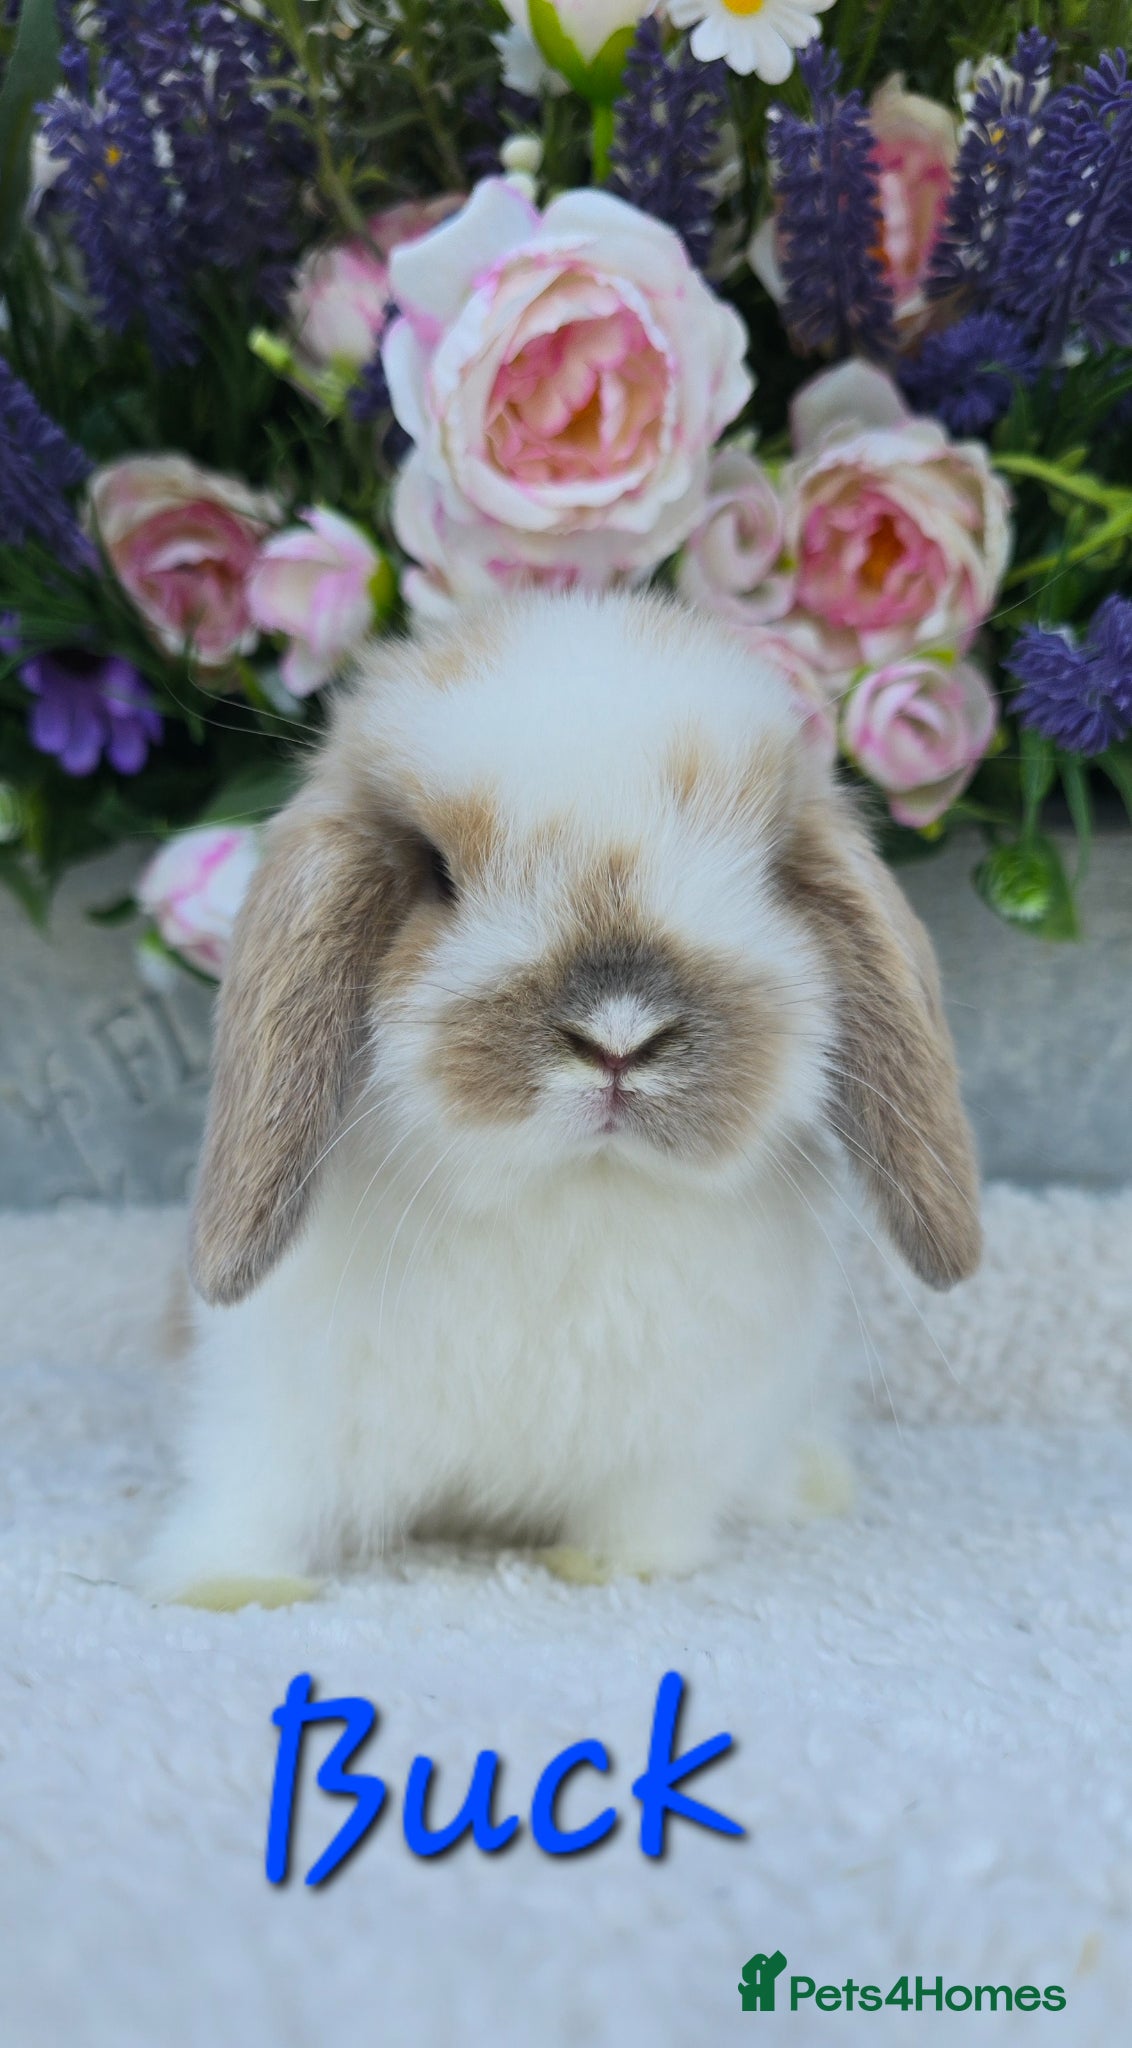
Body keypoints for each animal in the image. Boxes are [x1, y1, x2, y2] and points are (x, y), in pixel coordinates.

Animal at [142, 588, 980, 1608]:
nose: (620, 1037)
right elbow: (249, 1496)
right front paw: (225, 1586)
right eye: (437, 874)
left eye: (763, 872)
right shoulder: (269, 1407)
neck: (570, 1187)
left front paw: (614, 1569)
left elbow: (648, 1516)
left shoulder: (680, 1442)